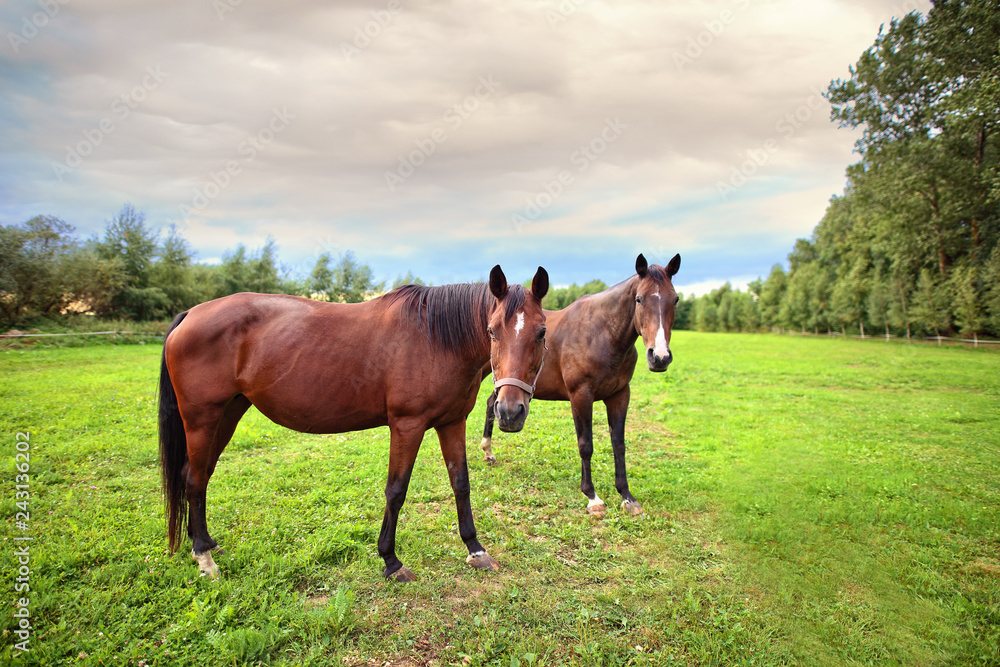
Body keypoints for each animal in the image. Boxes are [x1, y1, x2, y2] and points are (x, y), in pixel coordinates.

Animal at [159, 265, 549, 582]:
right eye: (492, 331)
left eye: (542, 332)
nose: (509, 412)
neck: (436, 337)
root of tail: (191, 314)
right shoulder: (407, 426)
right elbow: (396, 491)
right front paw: (391, 561)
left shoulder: (452, 422)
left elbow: (461, 484)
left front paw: (476, 550)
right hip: (202, 419)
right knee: (194, 479)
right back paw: (204, 558)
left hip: (227, 413)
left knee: (199, 476)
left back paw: (207, 544)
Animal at [479, 253, 680, 516]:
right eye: (639, 299)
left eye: (675, 299)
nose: (660, 357)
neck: (602, 334)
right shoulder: (581, 395)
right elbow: (586, 445)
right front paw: (592, 497)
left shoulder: (620, 395)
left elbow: (619, 444)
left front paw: (627, 496)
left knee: (491, 405)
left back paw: (488, 452)